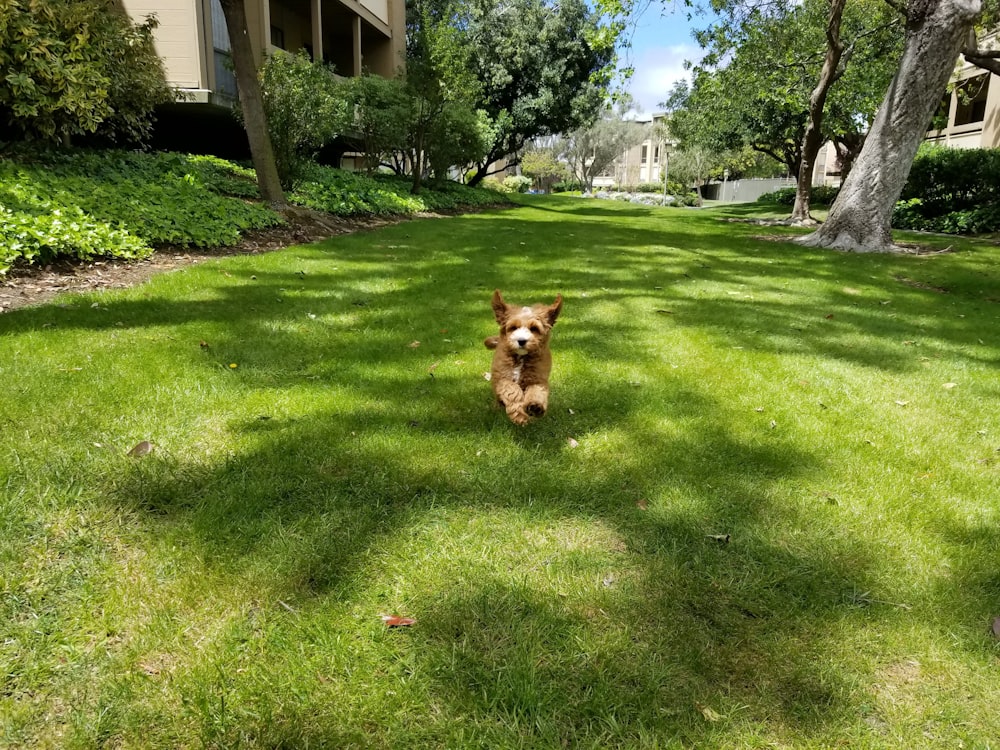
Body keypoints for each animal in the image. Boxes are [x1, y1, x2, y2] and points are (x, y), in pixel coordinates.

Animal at [484, 290, 564, 426]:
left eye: (534, 328)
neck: (521, 358)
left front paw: (535, 406)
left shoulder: (538, 378)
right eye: (513, 327)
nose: (521, 341)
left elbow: (537, 391)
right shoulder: (503, 377)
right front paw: (520, 415)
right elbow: (512, 391)